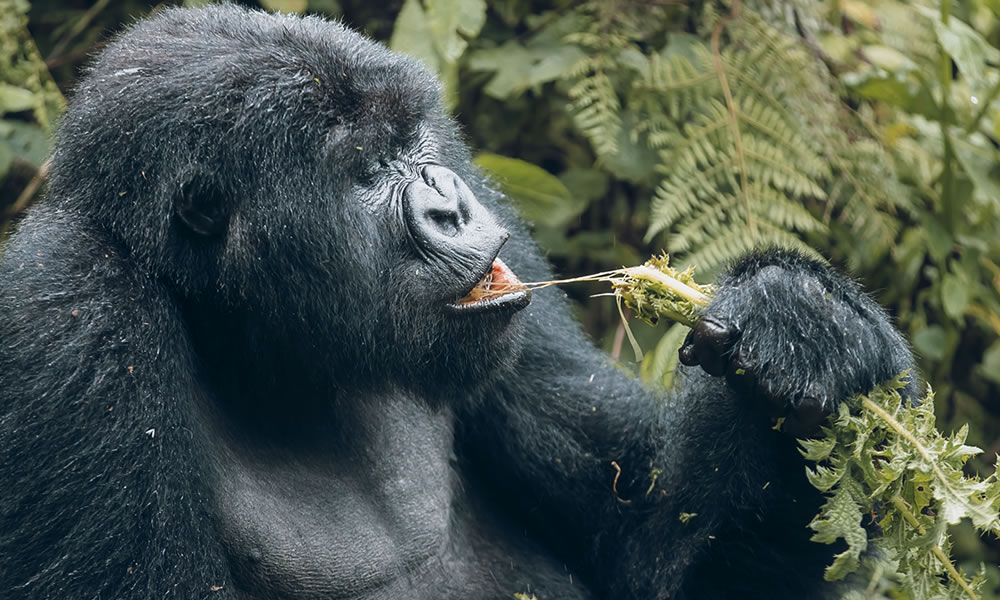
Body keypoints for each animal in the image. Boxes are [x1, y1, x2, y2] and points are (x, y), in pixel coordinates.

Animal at [0, 4, 916, 600]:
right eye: (368, 169)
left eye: (415, 142)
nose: (446, 201)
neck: (262, 348)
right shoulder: (66, 314)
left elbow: (644, 551)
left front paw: (808, 328)